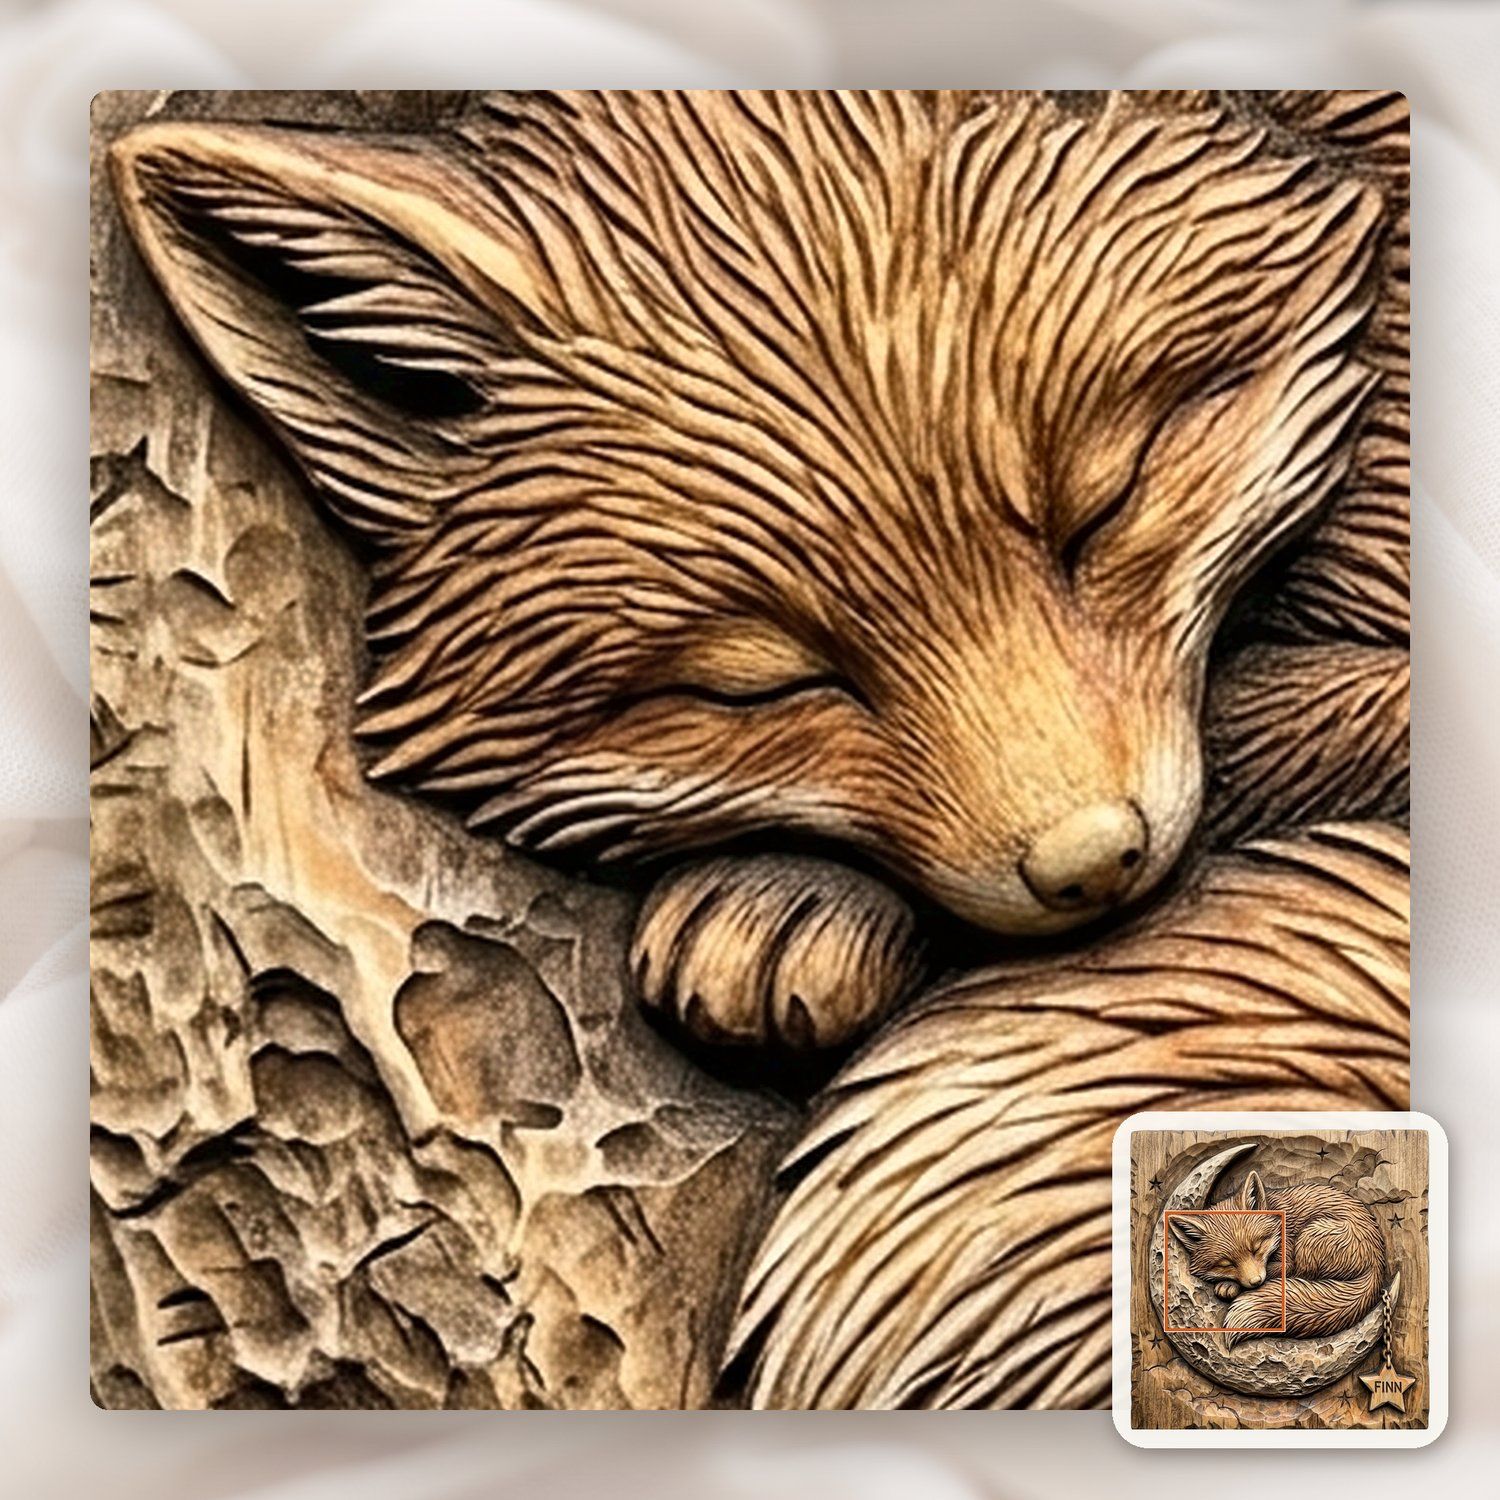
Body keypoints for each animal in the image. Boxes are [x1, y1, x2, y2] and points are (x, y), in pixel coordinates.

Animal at [1168, 1167, 1386, 1347]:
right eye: (1225, 1263)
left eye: (1256, 1248)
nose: (1256, 1282)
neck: (1280, 1220)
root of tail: (1378, 1262)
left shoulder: (1288, 1259)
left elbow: (1282, 1270)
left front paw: (1230, 1286)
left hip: (1311, 1235)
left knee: (1306, 1276)